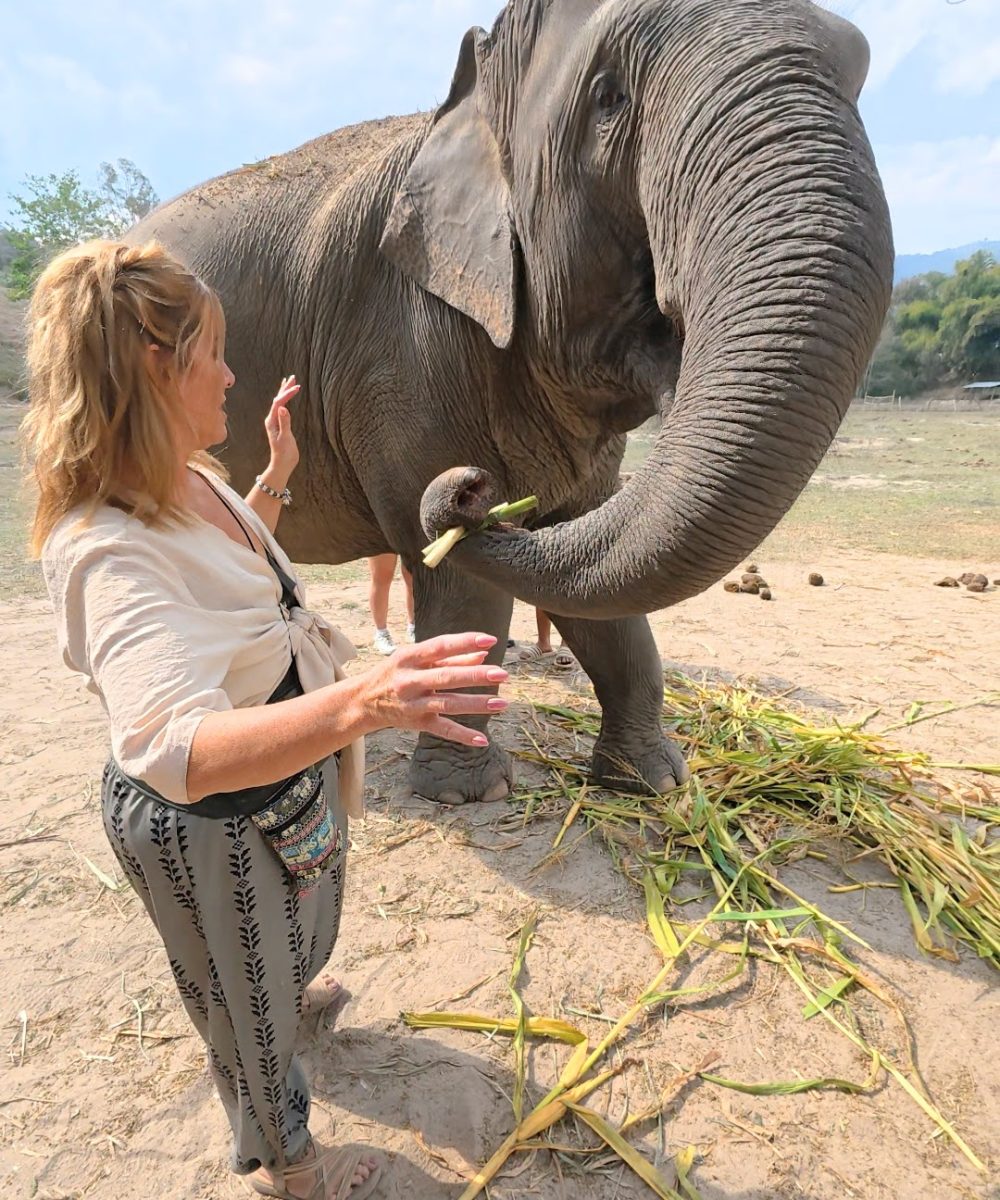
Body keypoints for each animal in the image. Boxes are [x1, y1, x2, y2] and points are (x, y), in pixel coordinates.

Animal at [130, 0, 893, 806]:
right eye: (609, 99)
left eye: (858, 70)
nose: (472, 489)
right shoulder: (400, 338)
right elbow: (465, 586)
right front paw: (468, 793)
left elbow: (593, 556)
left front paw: (649, 782)